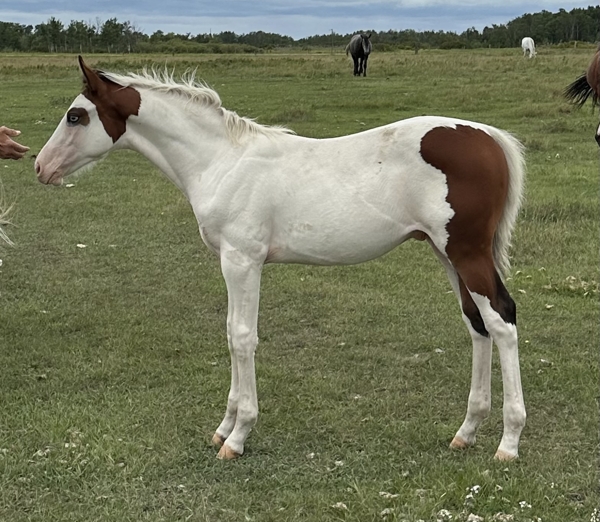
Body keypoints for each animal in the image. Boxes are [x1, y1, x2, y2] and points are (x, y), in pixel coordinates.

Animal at [35, 57, 527, 462]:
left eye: (76, 116)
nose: (41, 167)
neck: (223, 161)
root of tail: (489, 136)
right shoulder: (232, 263)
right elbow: (230, 333)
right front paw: (223, 427)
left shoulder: (242, 260)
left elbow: (241, 337)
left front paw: (238, 436)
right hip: (446, 255)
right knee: (476, 324)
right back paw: (466, 432)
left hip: (466, 253)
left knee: (501, 320)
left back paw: (508, 442)